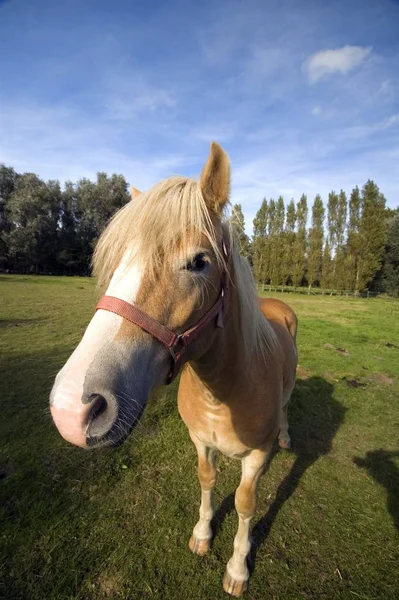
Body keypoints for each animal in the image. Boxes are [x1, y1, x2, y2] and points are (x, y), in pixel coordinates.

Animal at [50, 143, 298, 596]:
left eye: (199, 262)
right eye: (119, 262)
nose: (72, 408)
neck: (223, 392)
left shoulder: (256, 457)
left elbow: (245, 503)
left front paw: (237, 568)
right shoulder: (199, 441)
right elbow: (206, 479)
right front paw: (202, 535)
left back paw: (286, 437)